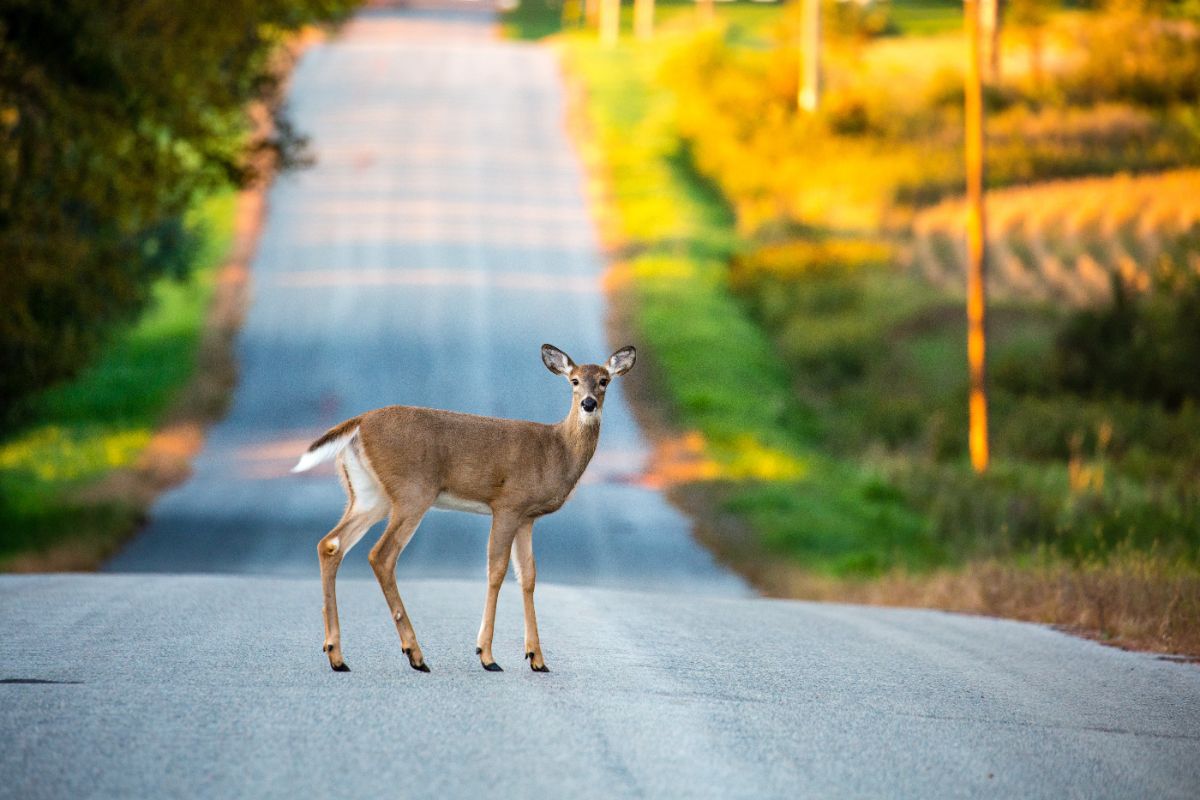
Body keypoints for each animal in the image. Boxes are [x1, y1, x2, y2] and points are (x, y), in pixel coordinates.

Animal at [291, 340, 638, 671]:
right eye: (574, 380)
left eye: (604, 380)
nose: (588, 403)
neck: (556, 451)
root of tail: (359, 423)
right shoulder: (508, 504)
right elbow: (496, 571)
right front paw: (487, 655)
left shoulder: (528, 517)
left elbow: (528, 576)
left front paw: (537, 659)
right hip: (413, 492)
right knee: (381, 555)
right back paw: (415, 654)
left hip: (368, 494)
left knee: (331, 544)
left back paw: (337, 656)